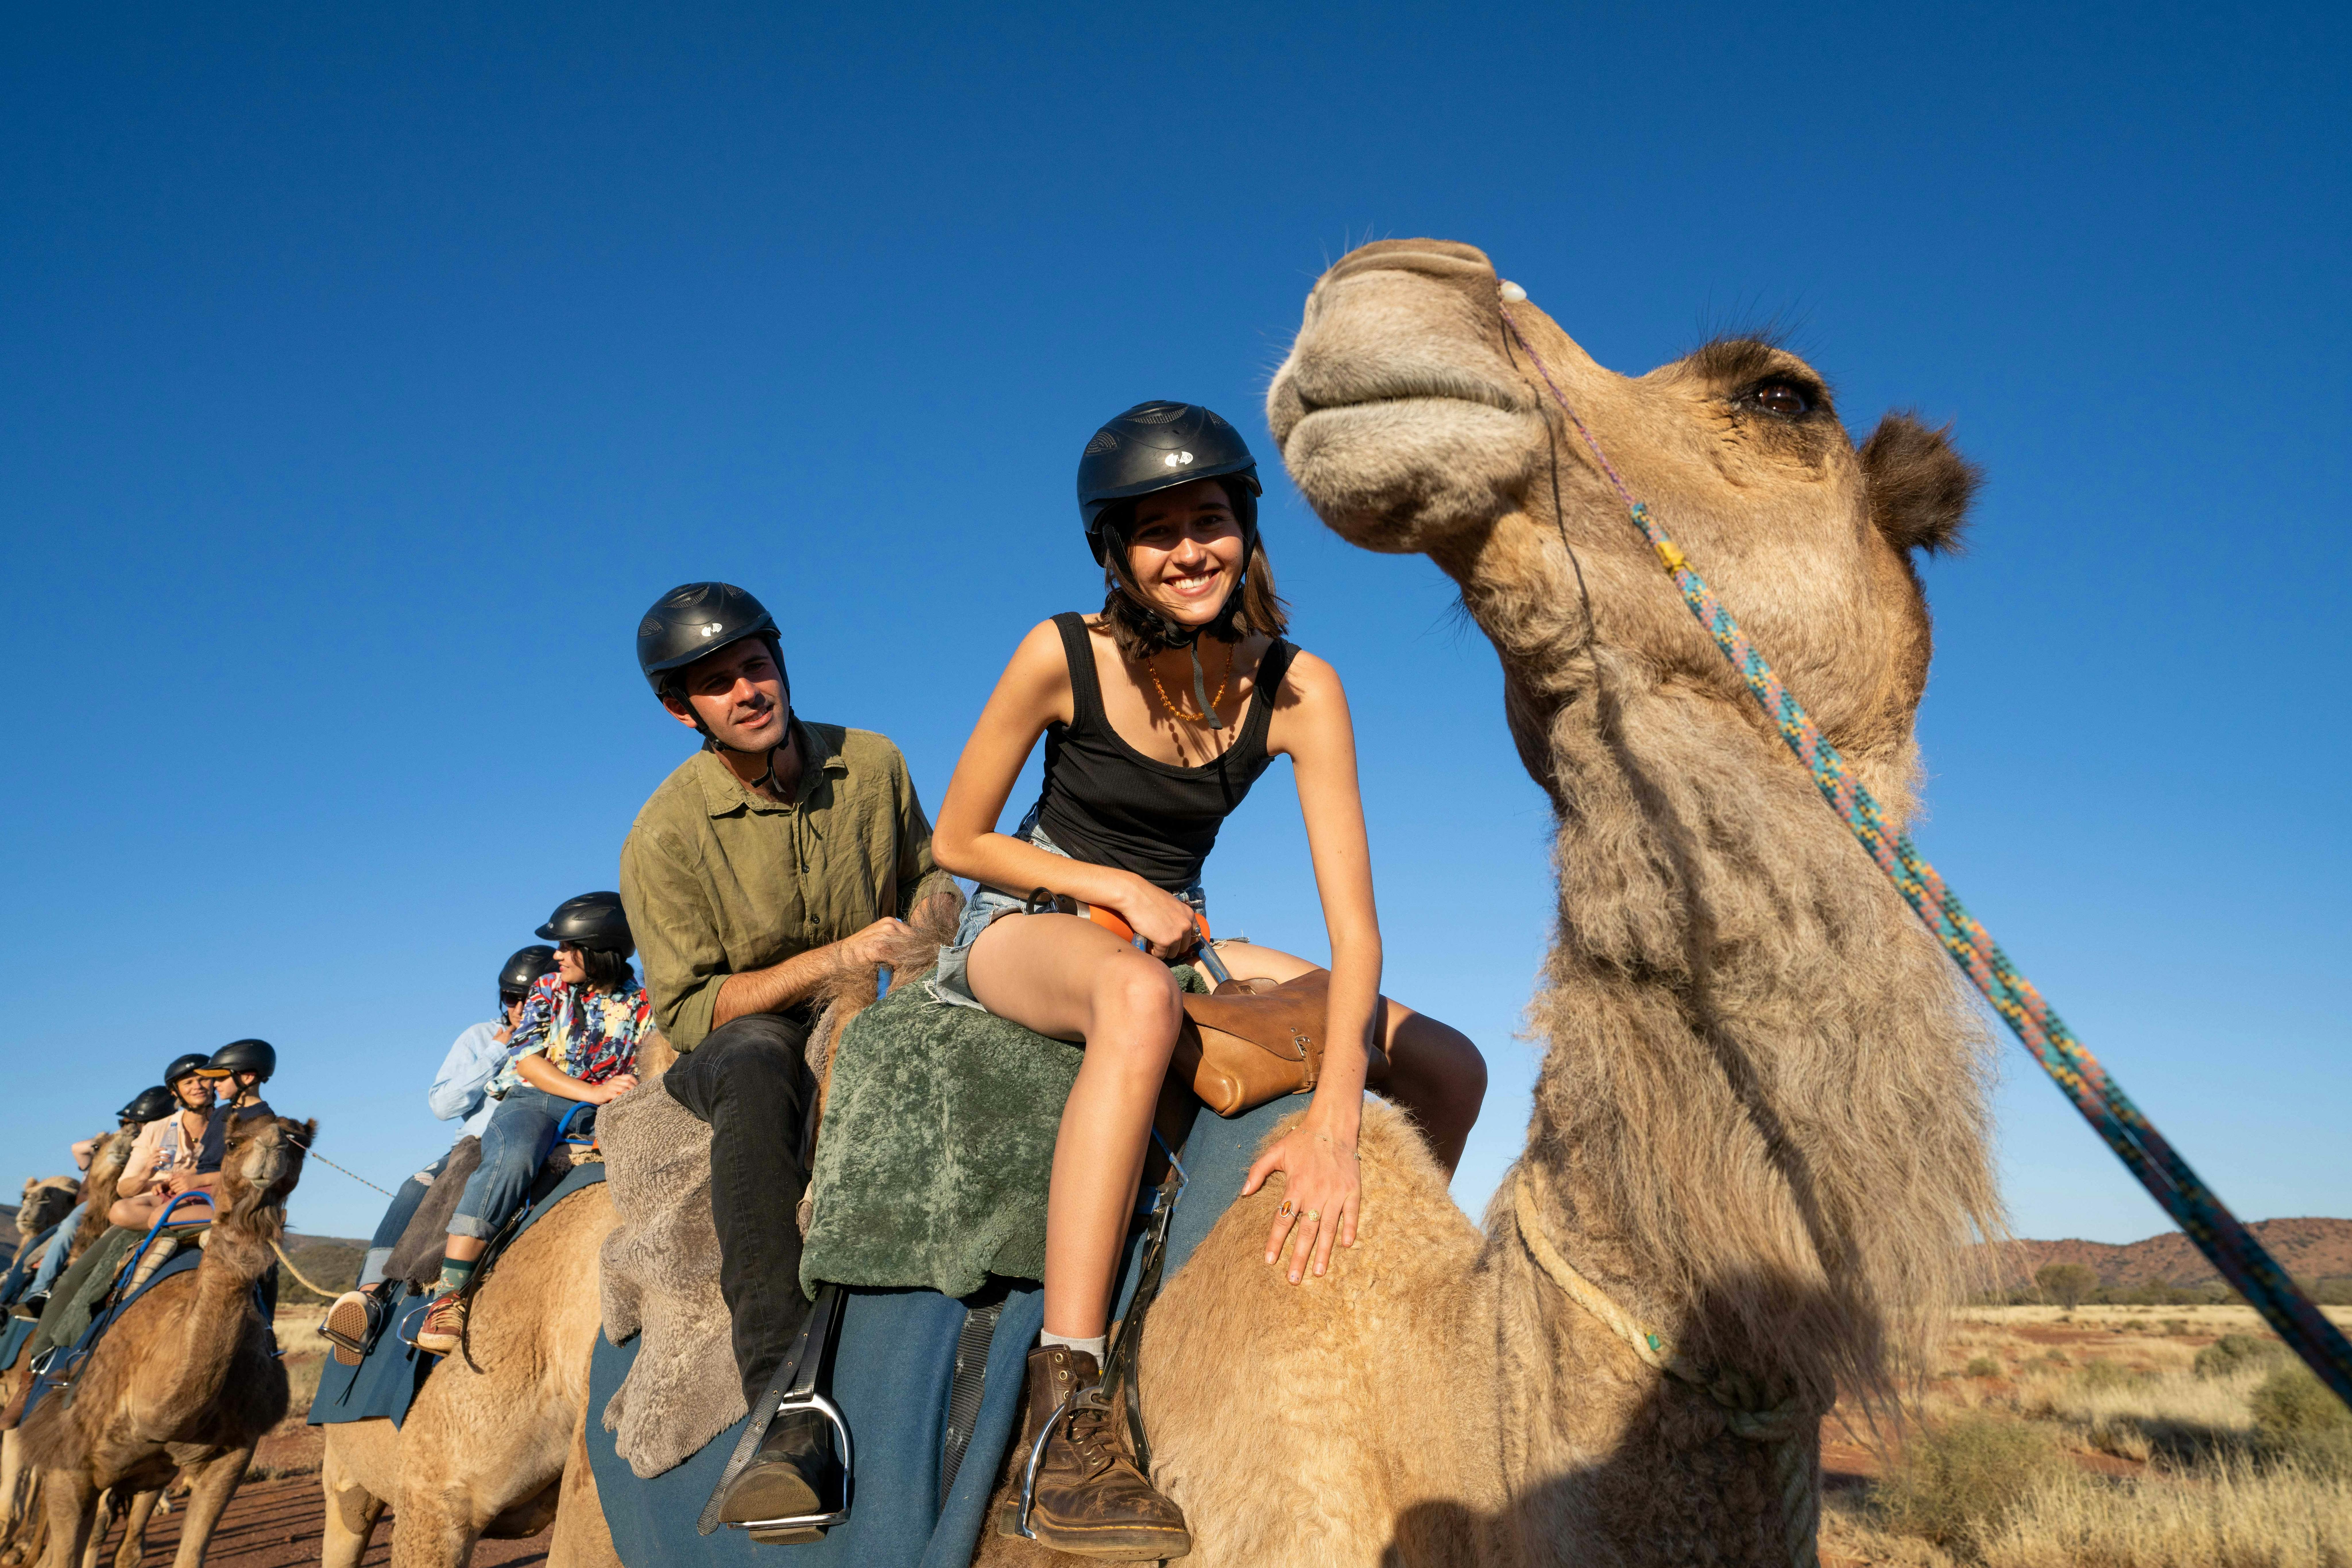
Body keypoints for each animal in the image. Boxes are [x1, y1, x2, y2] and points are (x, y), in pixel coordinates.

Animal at [16, 1112, 314, 1568]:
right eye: (233, 1142)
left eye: (300, 1144)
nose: (271, 1148)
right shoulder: (70, 1465)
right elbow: (70, 1550)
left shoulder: (231, 1458)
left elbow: (176, 1553)